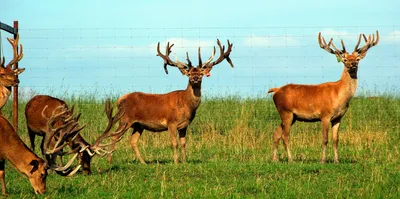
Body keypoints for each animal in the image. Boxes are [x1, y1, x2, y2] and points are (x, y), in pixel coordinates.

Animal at [268, 30, 378, 163]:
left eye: (357, 58)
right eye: (344, 59)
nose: (352, 64)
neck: (339, 95)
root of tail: (276, 90)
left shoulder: (338, 118)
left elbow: (336, 140)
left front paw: (336, 160)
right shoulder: (325, 115)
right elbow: (325, 139)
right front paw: (323, 160)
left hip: (292, 116)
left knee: (276, 133)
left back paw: (275, 159)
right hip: (286, 112)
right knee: (285, 135)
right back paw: (290, 159)